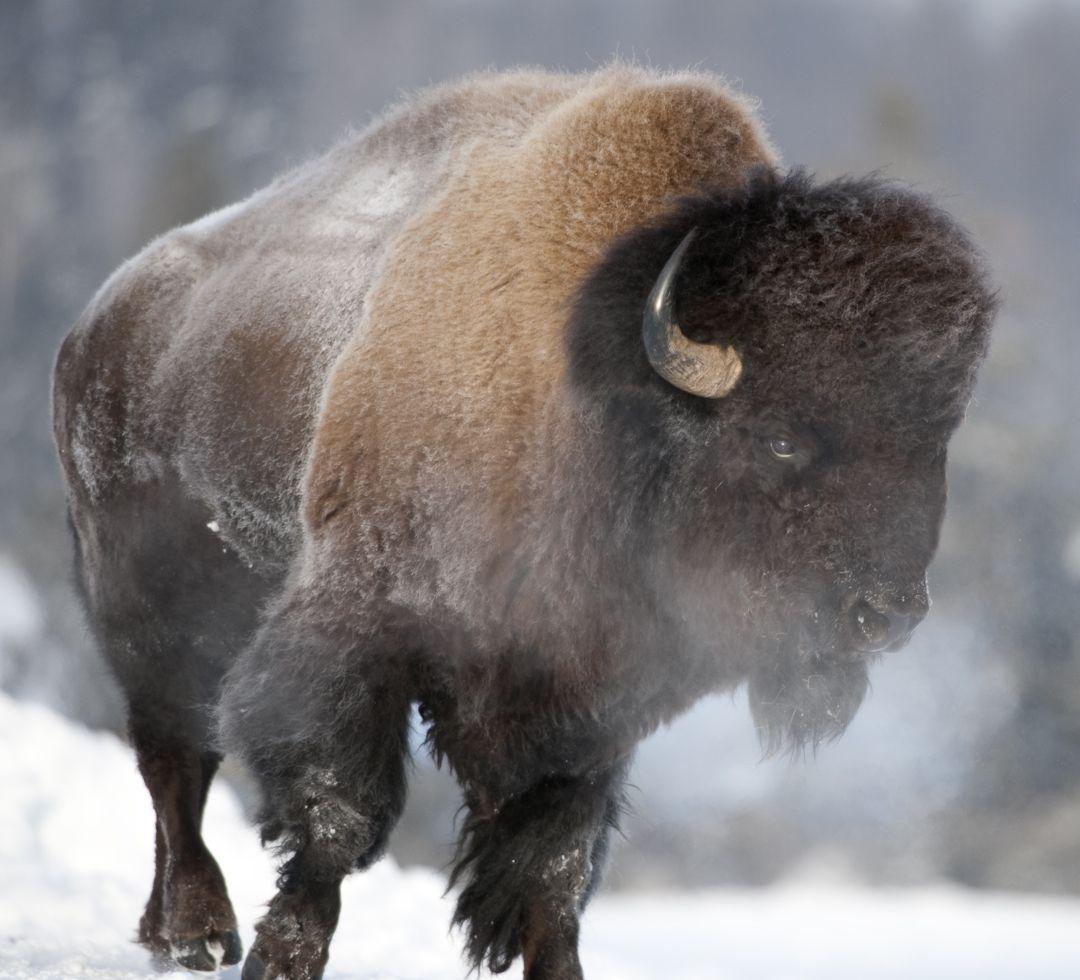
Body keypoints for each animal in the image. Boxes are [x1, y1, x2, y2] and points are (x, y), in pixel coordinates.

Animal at [52, 66, 996, 979]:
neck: (592, 396)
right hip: (149, 615)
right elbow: (339, 816)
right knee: (177, 763)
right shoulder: (358, 634)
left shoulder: (587, 709)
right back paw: (200, 934)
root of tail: (95, 325)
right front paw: (283, 959)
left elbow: (554, 866)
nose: (887, 616)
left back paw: (166, 932)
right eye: (782, 438)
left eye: (934, 444)